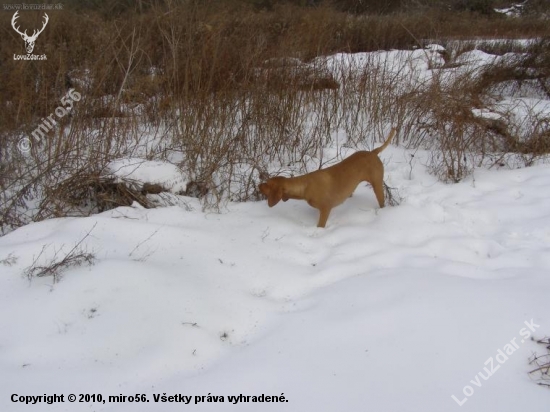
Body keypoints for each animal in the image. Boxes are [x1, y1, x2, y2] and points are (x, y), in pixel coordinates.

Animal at [260, 128, 396, 227]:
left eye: (267, 183)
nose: (258, 185)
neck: (304, 186)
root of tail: (373, 152)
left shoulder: (325, 209)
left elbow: (320, 225)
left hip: (377, 185)